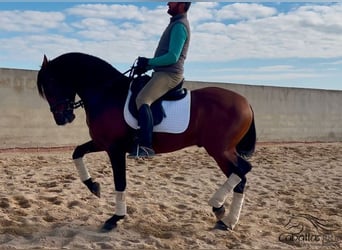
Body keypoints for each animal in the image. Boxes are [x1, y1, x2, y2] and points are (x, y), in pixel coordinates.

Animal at [38, 52, 256, 232]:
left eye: (49, 83)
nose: (62, 119)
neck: (106, 93)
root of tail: (245, 102)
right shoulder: (102, 143)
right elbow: (77, 152)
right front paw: (93, 186)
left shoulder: (115, 149)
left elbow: (120, 182)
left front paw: (115, 218)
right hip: (221, 151)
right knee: (240, 177)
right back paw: (223, 216)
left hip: (220, 150)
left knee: (243, 170)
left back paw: (222, 213)